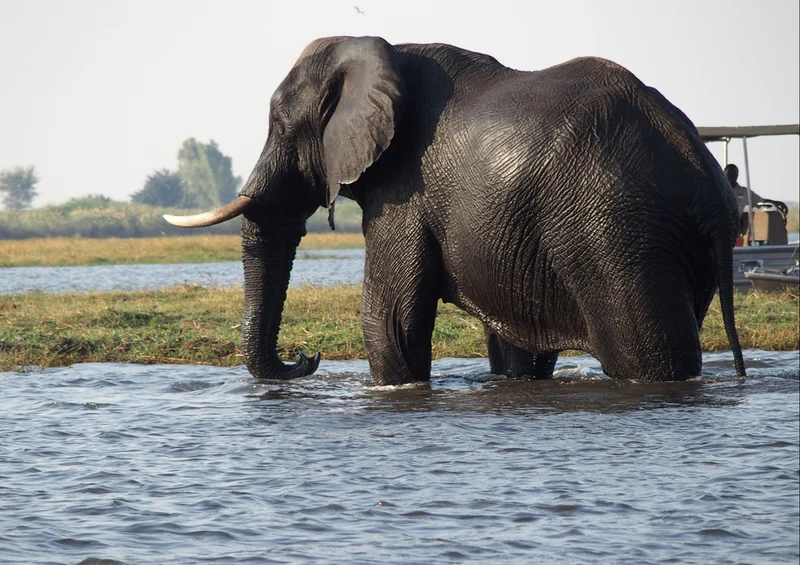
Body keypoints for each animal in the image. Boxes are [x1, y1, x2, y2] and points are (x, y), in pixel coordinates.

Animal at [164, 36, 746, 385]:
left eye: (279, 125)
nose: (307, 356)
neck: (380, 51)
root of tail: (701, 167)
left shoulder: (404, 189)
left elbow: (390, 319)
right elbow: (514, 345)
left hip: (618, 235)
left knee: (650, 355)